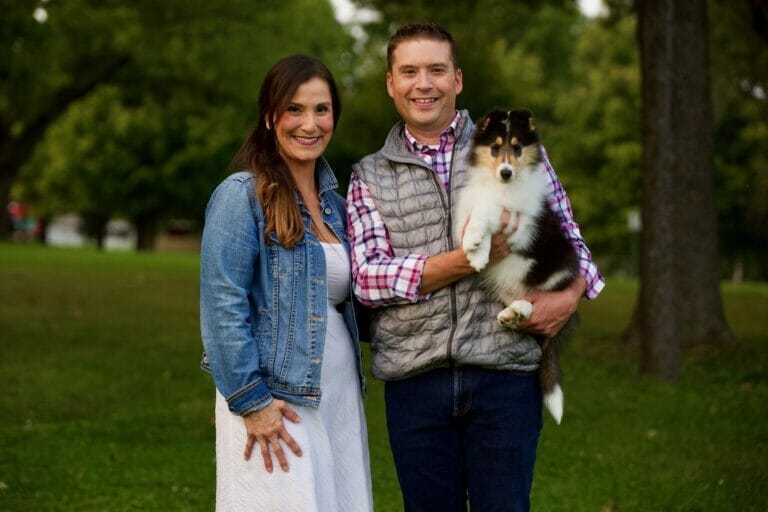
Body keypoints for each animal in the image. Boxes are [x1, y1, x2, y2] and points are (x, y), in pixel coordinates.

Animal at [452, 109, 580, 424]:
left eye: (518, 148)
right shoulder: (467, 208)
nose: (506, 172)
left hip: (558, 266)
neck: (499, 186)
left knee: (539, 302)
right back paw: (510, 314)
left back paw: (522, 309)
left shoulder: (518, 215)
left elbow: (488, 209)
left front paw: (476, 244)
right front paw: (476, 250)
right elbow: (476, 213)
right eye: (495, 148)